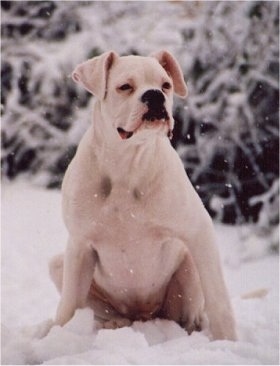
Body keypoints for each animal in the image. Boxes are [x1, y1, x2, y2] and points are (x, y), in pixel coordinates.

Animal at [49, 50, 237, 340]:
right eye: (125, 86)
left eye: (166, 85)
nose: (154, 95)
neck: (129, 163)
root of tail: (143, 316)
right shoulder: (79, 245)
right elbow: (69, 306)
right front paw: (56, 338)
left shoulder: (199, 231)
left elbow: (218, 298)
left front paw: (228, 341)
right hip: (59, 264)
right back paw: (113, 324)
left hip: (188, 262)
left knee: (190, 315)